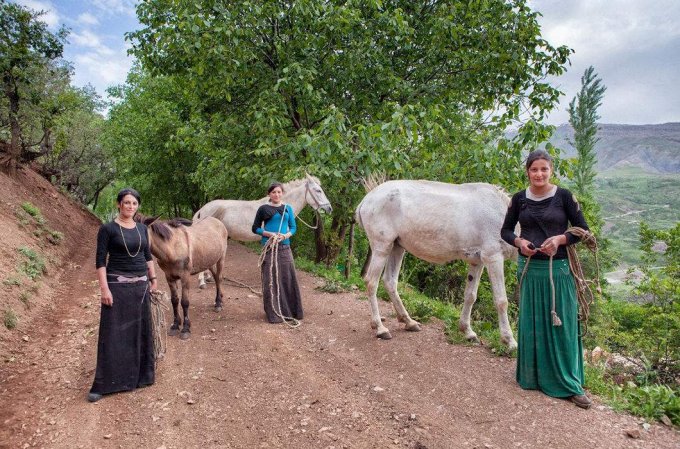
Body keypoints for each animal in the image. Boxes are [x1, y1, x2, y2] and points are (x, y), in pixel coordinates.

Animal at [354, 178, 516, 346]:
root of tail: (366, 200)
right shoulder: (493, 257)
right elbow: (501, 300)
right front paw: (509, 340)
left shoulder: (477, 261)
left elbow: (470, 295)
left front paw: (468, 331)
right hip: (382, 247)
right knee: (371, 282)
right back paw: (380, 328)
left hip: (397, 247)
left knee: (390, 282)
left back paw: (409, 322)